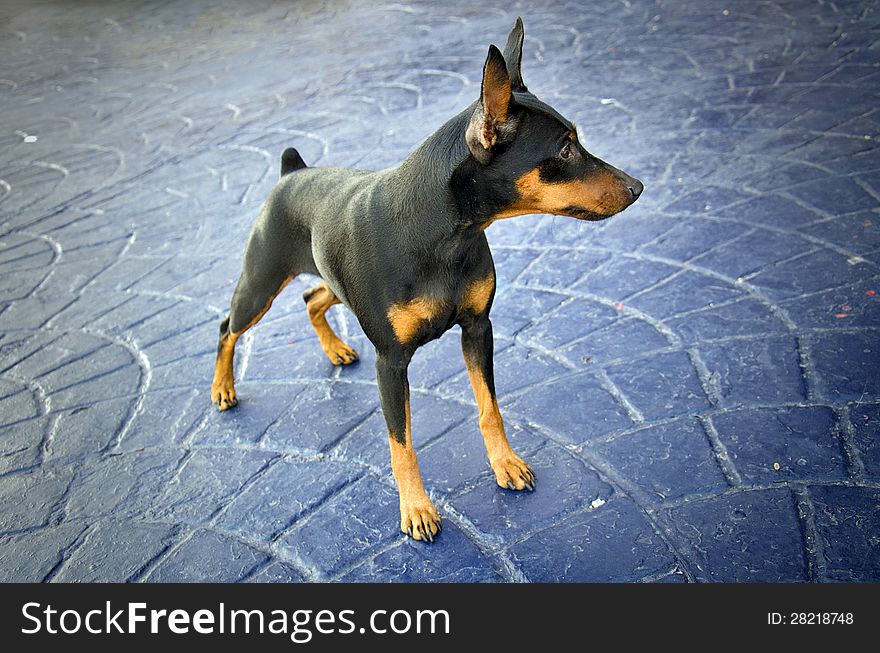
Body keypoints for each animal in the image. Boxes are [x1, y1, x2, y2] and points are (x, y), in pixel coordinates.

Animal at [211, 19, 644, 540]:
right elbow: (402, 446)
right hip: (259, 285)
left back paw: (335, 349)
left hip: (332, 285)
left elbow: (490, 409)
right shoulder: (391, 362)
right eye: (564, 147)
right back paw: (223, 389)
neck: (442, 234)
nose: (638, 187)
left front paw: (505, 464)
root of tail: (291, 172)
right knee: (228, 328)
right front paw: (415, 509)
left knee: (313, 298)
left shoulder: (478, 328)